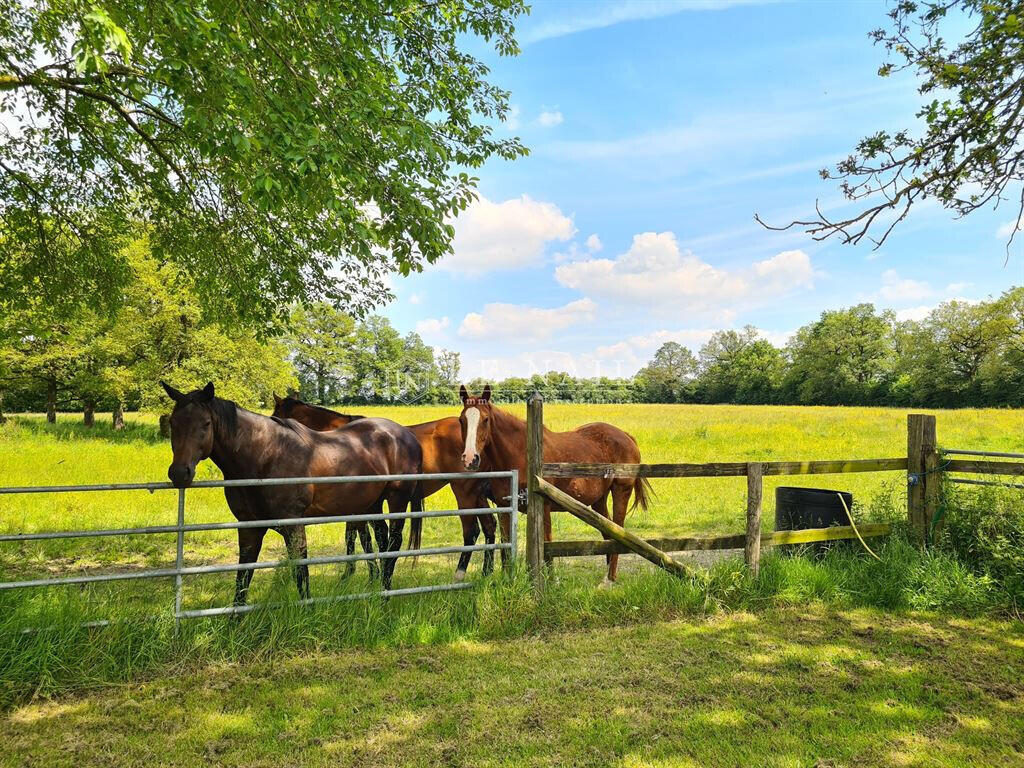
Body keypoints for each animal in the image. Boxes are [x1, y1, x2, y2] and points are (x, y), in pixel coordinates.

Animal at [163, 382, 419, 606]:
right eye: (172, 422)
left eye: (206, 423)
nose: (179, 473)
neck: (265, 456)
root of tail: (406, 435)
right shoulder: (249, 527)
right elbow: (242, 578)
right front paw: (234, 622)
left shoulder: (294, 526)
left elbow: (301, 573)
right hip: (371, 504)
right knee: (382, 541)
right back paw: (380, 591)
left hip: (396, 500)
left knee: (393, 543)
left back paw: (385, 597)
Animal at [272, 397, 503, 581]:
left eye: (275, 415)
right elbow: (357, 536)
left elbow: (360, 537)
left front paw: (361, 573)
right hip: (477, 494)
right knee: (489, 526)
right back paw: (486, 572)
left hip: (464, 491)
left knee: (472, 531)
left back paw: (460, 573)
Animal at [460, 385, 651, 581]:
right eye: (461, 420)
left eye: (485, 419)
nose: (470, 459)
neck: (520, 453)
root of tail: (627, 437)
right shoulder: (504, 507)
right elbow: (505, 546)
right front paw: (507, 580)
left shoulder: (543, 507)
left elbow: (547, 545)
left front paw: (551, 581)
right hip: (599, 501)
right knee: (609, 534)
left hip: (621, 490)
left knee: (619, 532)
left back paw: (610, 579)